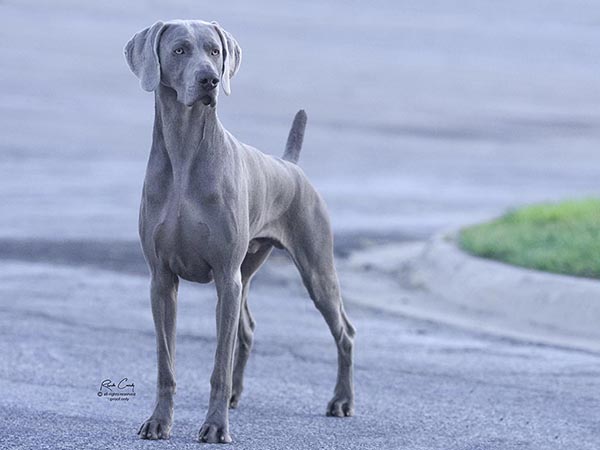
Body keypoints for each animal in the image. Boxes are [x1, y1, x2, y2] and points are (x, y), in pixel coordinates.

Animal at [123, 20, 354, 442]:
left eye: (215, 51)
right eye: (179, 50)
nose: (210, 80)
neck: (185, 153)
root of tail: (290, 164)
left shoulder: (224, 276)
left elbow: (219, 364)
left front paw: (215, 427)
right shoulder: (161, 279)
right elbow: (166, 361)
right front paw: (159, 422)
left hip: (315, 269)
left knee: (344, 331)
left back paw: (342, 401)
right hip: (248, 269)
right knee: (245, 331)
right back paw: (235, 397)